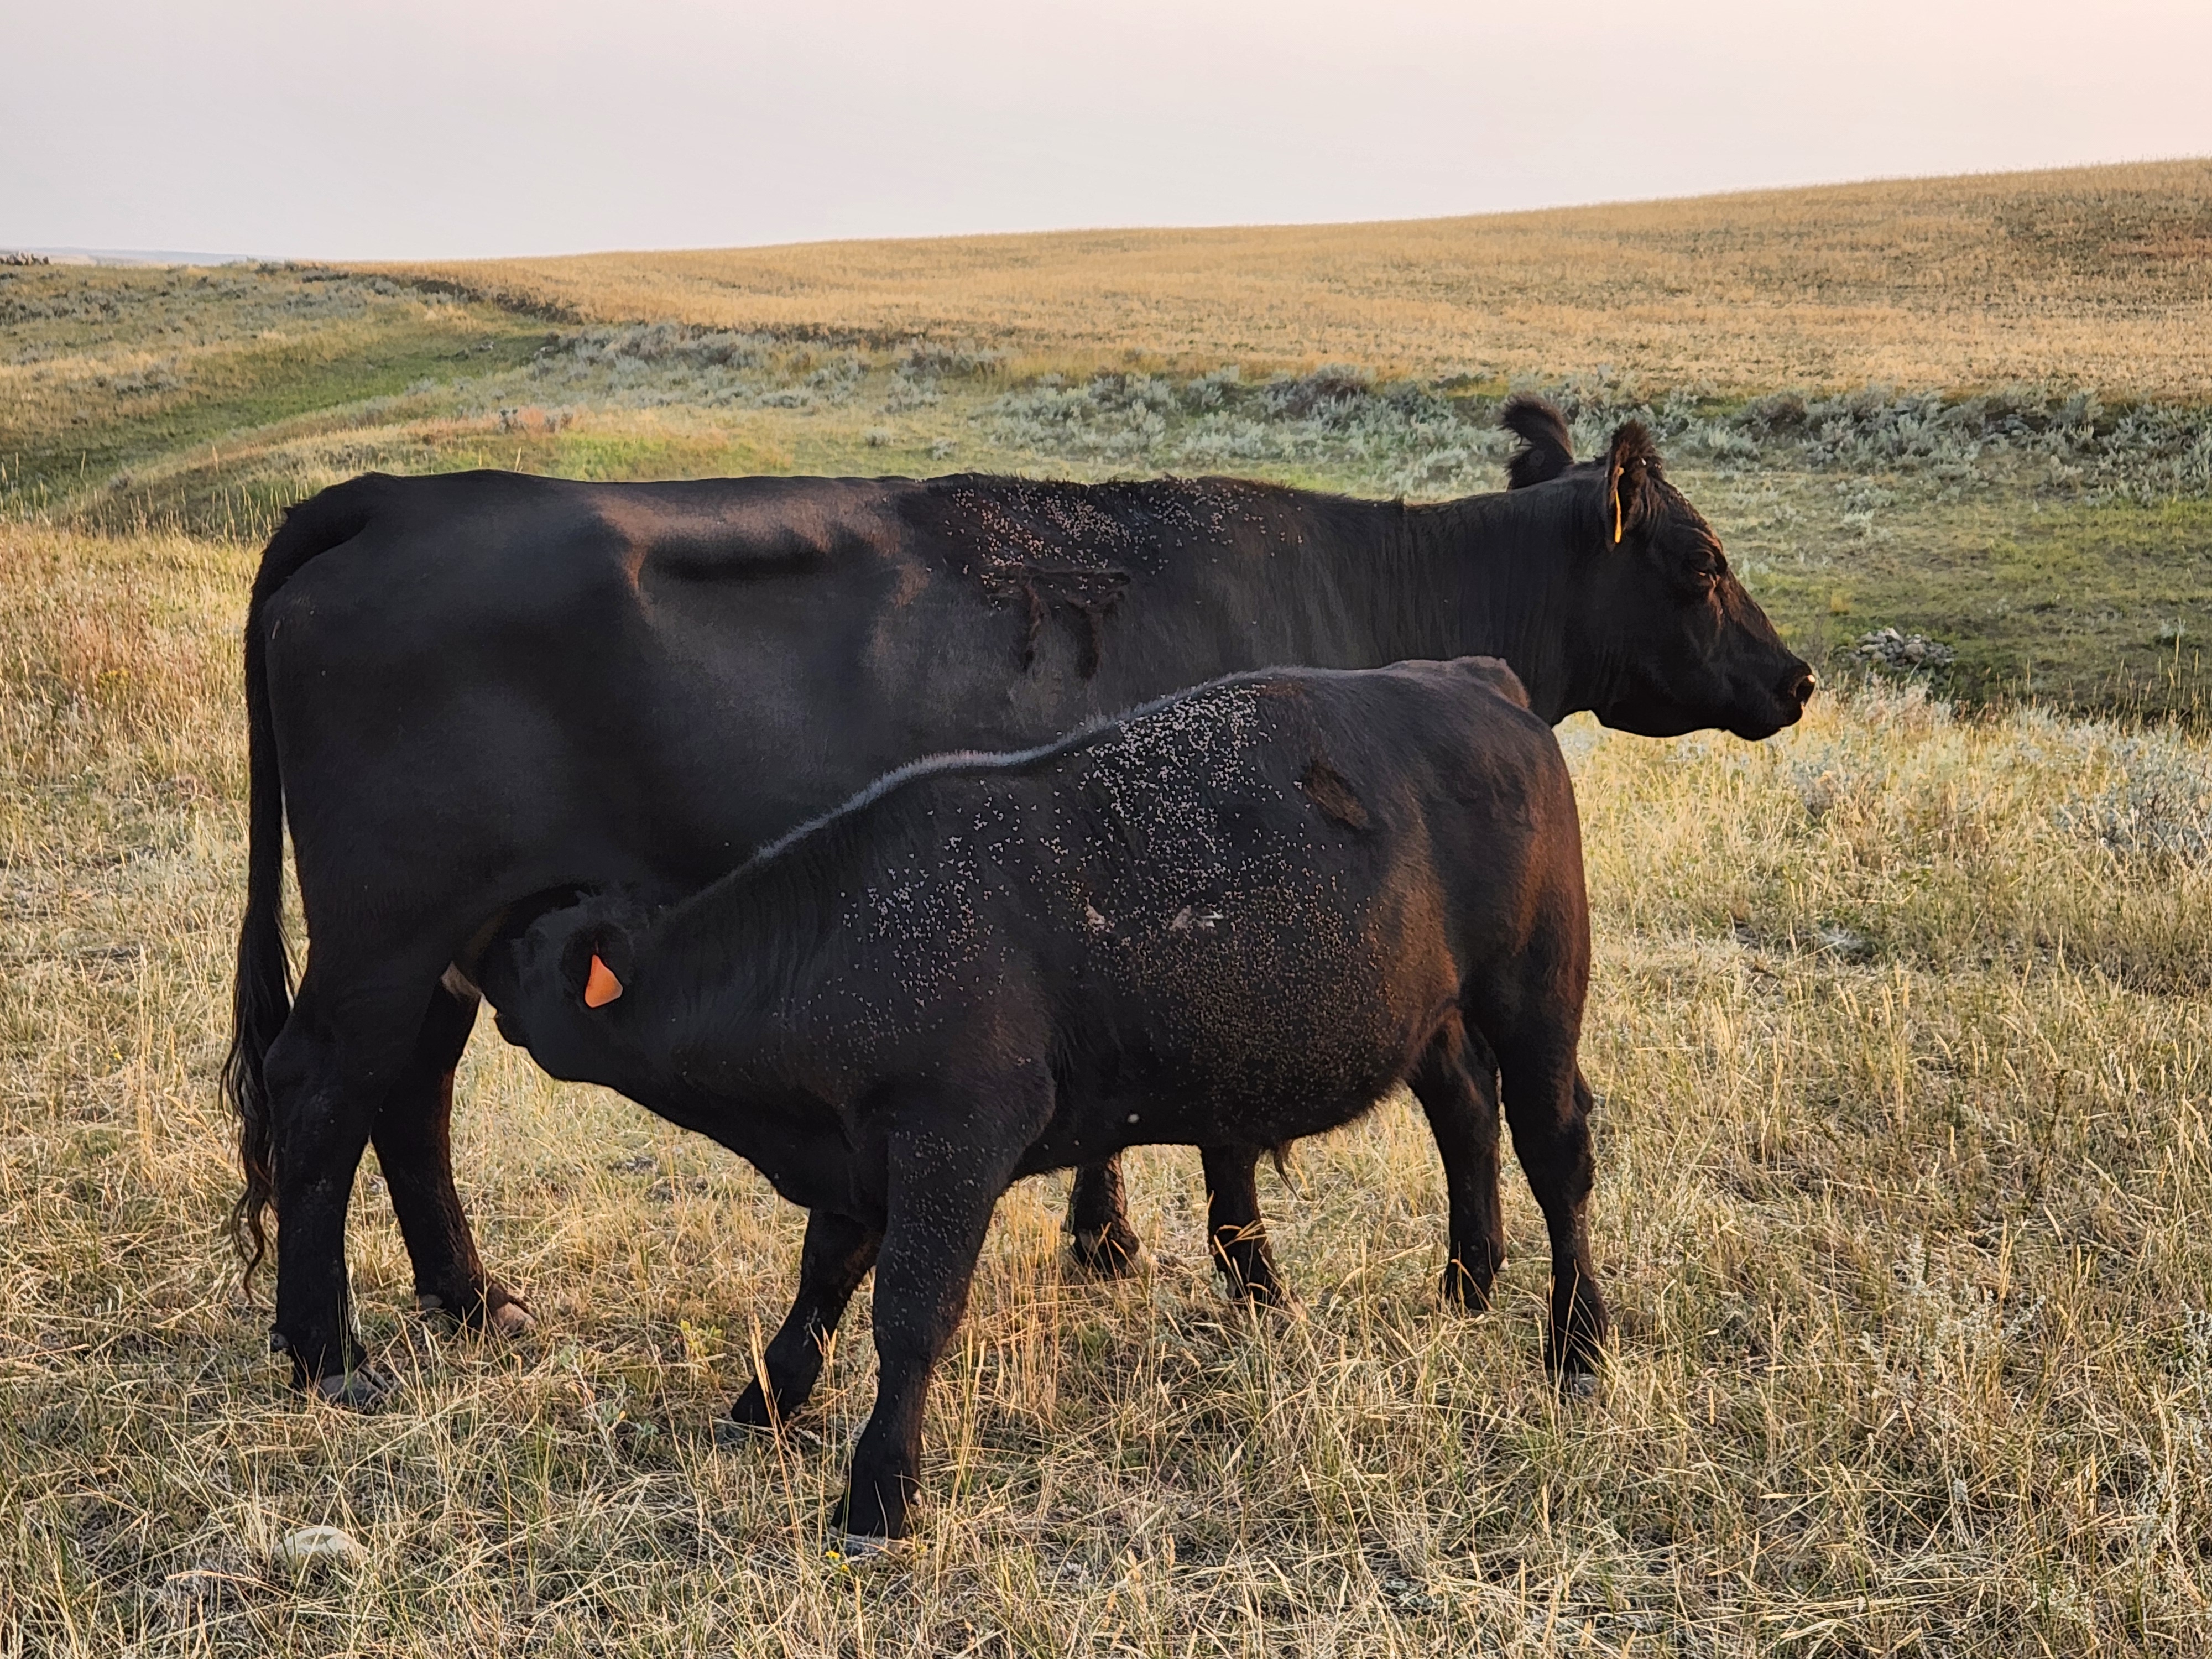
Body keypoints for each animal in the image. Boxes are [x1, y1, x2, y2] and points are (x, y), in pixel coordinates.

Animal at [227, 399, 1813, 1401]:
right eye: (1705, 563)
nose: (1796, 678)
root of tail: (389, 500)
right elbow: (1268, 1127)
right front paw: (1242, 1278)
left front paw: (1110, 1239)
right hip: (386, 930)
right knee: (324, 1093)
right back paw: (327, 1354)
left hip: (457, 937)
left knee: (409, 1098)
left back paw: (469, 1299)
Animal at [478, 656, 1598, 1543]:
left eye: (526, 951)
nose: (465, 957)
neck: (852, 936)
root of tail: (1468, 679)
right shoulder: (858, 1161)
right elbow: (820, 1282)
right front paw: (764, 1402)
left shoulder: (955, 1139)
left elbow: (910, 1311)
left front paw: (878, 1495)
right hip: (1436, 1017)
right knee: (1466, 1114)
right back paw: (1466, 1286)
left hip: (1538, 991)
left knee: (1557, 1153)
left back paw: (1576, 1343)